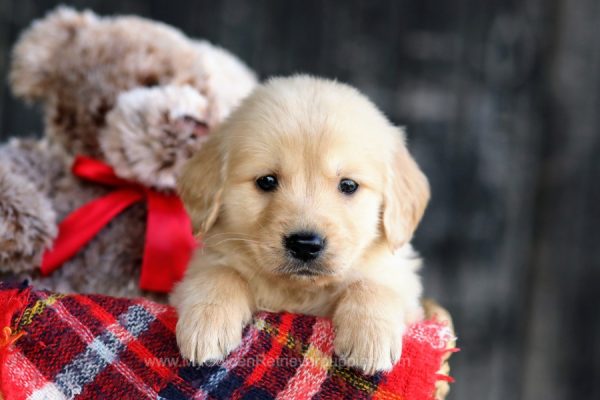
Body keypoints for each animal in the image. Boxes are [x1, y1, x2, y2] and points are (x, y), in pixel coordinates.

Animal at [171, 76, 428, 376]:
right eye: (266, 181)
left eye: (348, 185)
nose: (305, 244)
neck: (299, 291)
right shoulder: (205, 263)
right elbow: (221, 273)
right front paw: (207, 323)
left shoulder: (402, 285)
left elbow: (372, 285)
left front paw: (370, 339)